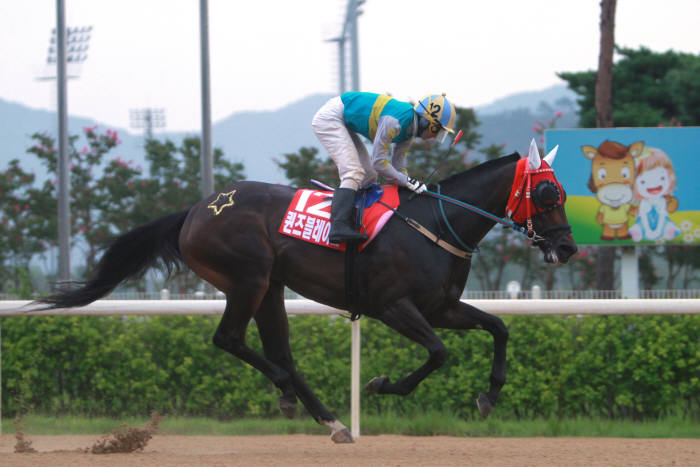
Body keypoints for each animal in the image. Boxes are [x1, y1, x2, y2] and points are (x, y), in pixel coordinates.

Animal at [38, 139, 576, 442]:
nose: (568, 247)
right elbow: (440, 353)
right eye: (548, 192)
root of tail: (195, 210)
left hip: (271, 287)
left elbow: (499, 326)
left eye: (562, 192)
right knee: (231, 340)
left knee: (280, 352)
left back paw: (325, 417)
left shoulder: (440, 305)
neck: (435, 224)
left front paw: (489, 396)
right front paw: (381, 384)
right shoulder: (393, 306)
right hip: (248, 277)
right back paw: (295, 397)